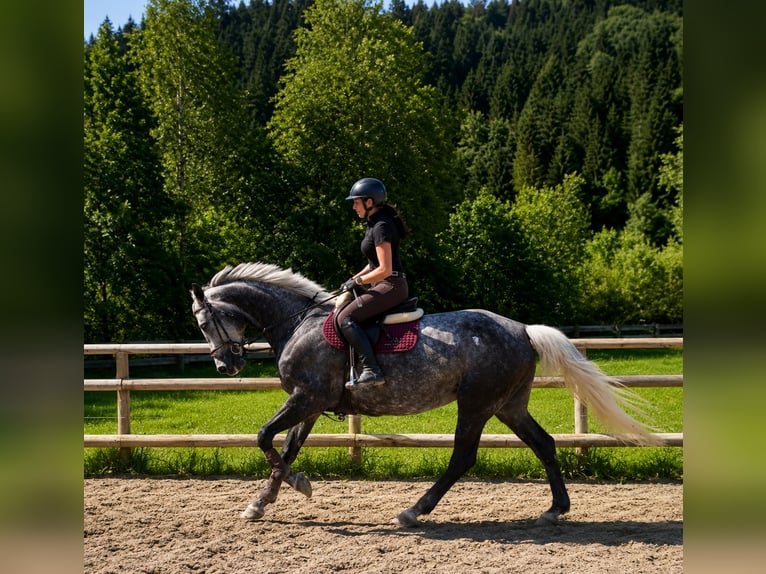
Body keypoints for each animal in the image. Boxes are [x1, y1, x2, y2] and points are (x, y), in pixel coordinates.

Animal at [190, 262, 658, 527]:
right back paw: (555, 509)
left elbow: (264, 437)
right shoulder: (310, 404)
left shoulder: (306, 397)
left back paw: (415, 511)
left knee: (463, 457)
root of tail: (524, 330)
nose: (226, 366)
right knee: (543, 444)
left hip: (476, 404)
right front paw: (260, 504)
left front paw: (299, 485)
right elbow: (285, 449)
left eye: (204, 322)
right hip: (508, 405)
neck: (298, 322)